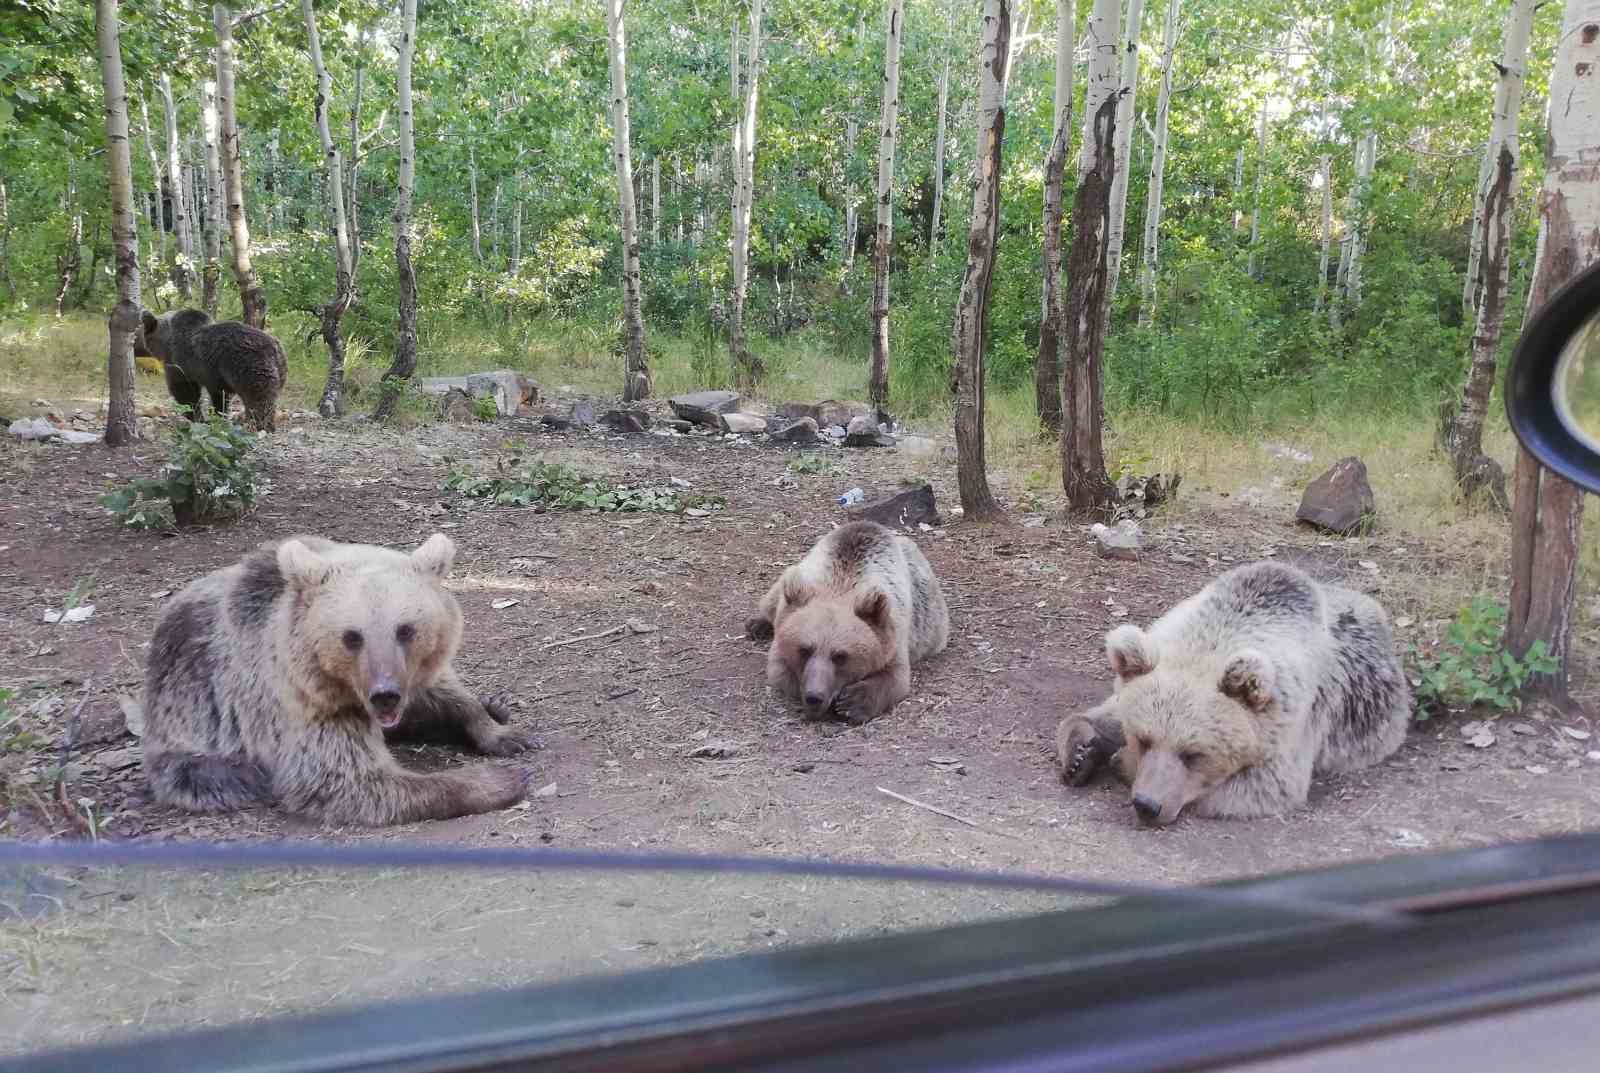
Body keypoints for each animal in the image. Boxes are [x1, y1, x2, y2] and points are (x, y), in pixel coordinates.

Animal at [137, 308, 288, 431]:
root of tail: (274, 348)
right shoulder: (216, 378)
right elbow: (220, 398)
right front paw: (218, 416)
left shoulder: (180, 364)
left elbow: (185, 392)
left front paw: (194, 416)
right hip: (280, 368)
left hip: (249, 365)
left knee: (259, 398)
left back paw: (257, 424)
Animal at [142, 534, 537, 825]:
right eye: (352, 636)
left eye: (405, 630)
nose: (385, 695)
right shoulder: (303, 704)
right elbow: (349, 780)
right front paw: (499, 780)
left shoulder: (412, 679)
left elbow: (445, 695)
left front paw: (504, 731)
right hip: (189, 730)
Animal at [748, 521, 947, 725]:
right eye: (804, 650)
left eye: (841, 656)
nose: (814, 697)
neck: (842, 586)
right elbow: (781, 672)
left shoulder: (893, 634)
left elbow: (896, 678)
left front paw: (851, 703)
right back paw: (757, 625)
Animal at [1056, 559, 1408, 825]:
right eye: (1144, 739)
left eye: (1193, 753)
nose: (1148, 805)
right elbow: (1103, 713)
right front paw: (1082, 752)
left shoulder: (1292, 724)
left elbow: (1262, 786)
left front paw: (1119, 761)